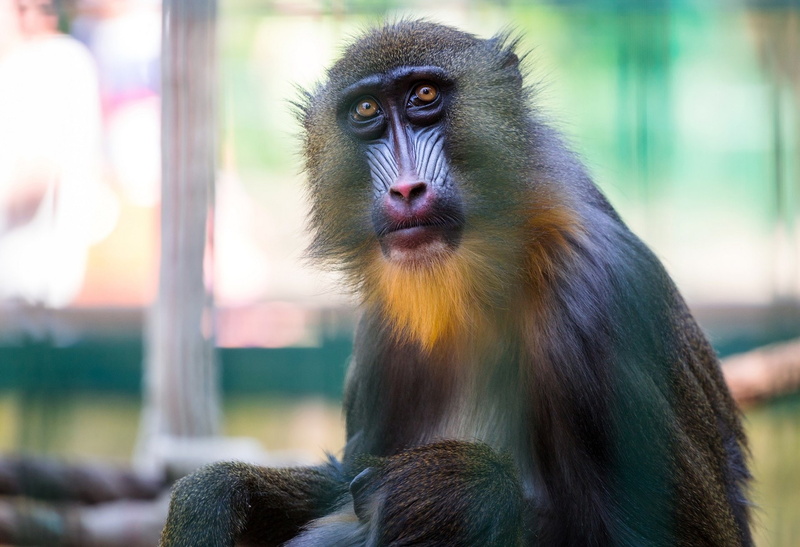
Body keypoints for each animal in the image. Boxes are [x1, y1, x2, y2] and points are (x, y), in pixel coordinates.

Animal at [160, 20, 752, 546]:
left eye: (424, 95)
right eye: (367, 111)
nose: (405, 190)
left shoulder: (600, 299)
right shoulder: (384, 327)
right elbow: (343, 479)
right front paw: (211, 498)